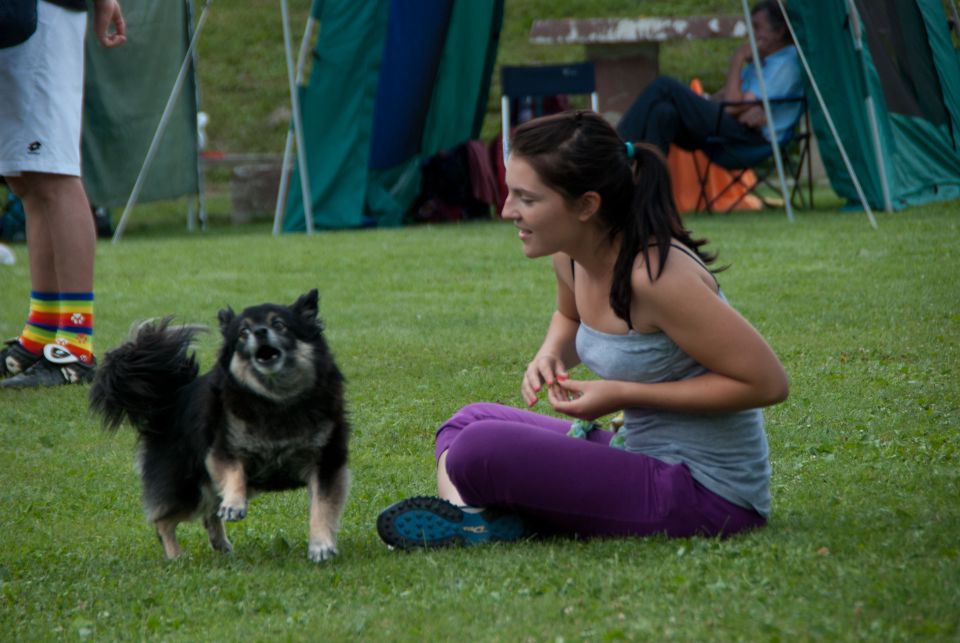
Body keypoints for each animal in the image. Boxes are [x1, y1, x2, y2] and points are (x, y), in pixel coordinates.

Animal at [90, 290, 350, 564]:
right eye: (243, 332)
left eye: (279, 325)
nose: (260, 332)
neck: (275, 400)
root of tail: (168, 400)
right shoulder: (221, 450)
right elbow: (233, 471)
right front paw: (234, 504)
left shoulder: (327, 462)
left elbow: (322, 506)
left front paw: (321, 545)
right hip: (189, 488)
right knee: (164, 520)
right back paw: (175, 556)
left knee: (209, 512)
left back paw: (220, 544)